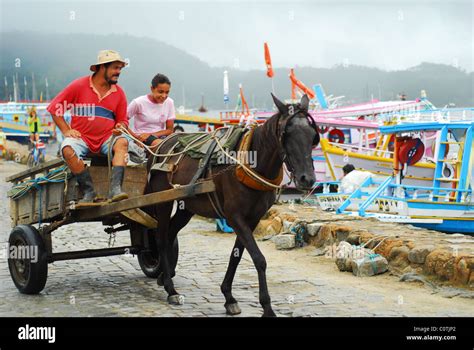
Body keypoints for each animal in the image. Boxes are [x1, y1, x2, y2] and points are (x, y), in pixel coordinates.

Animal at [146, 93, 320, 318]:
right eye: (286, 133)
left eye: (312, 135)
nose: (307, 179)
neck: (251, 163)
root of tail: (159, 146)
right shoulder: (234, 216)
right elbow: (259, 258)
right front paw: (267, 307)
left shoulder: (252, 218)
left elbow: (237, 255)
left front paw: (228, 297)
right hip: (163, 201)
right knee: (160, 237)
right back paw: (170, 288)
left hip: (187, 205)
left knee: (169, 235)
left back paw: (164, 277)